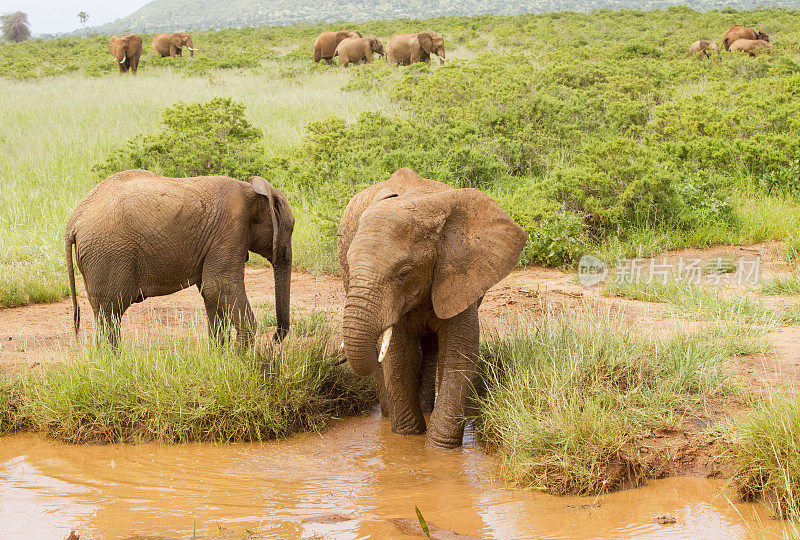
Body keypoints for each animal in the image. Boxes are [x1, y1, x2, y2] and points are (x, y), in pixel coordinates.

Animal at [63, 168, 294, 346]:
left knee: (104, 314)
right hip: (108, 253)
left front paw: (220, 357)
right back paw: (113, 363)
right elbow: (220, 285)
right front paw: (242, 361)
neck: (251, 190)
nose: (274, 339)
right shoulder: (230, 229)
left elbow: (211, 292)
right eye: (291, 228)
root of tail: (74, 219)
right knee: (111, 312)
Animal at [336, 169, 528, 448]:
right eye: (349, 266)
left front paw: (440, 448)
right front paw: (407, 438)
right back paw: (389, 415)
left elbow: (459, 353)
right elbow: (399, 356)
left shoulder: (458, 273)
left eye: (404, 273)